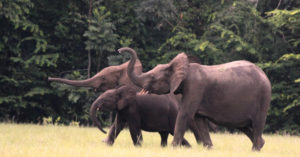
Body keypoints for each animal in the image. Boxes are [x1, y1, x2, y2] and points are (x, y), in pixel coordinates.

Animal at [119, 47, 272, 151]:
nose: (120, 50)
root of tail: (264, 74)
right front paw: (209, 149)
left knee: (257, 123)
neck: (182, 67)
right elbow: (199, 119)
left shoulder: (194, 88)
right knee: (243, 126)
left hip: (263, 97)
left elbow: (185, 114)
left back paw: (255, 149)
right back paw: (260, 145)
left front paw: (173, 149)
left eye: (152, 77)